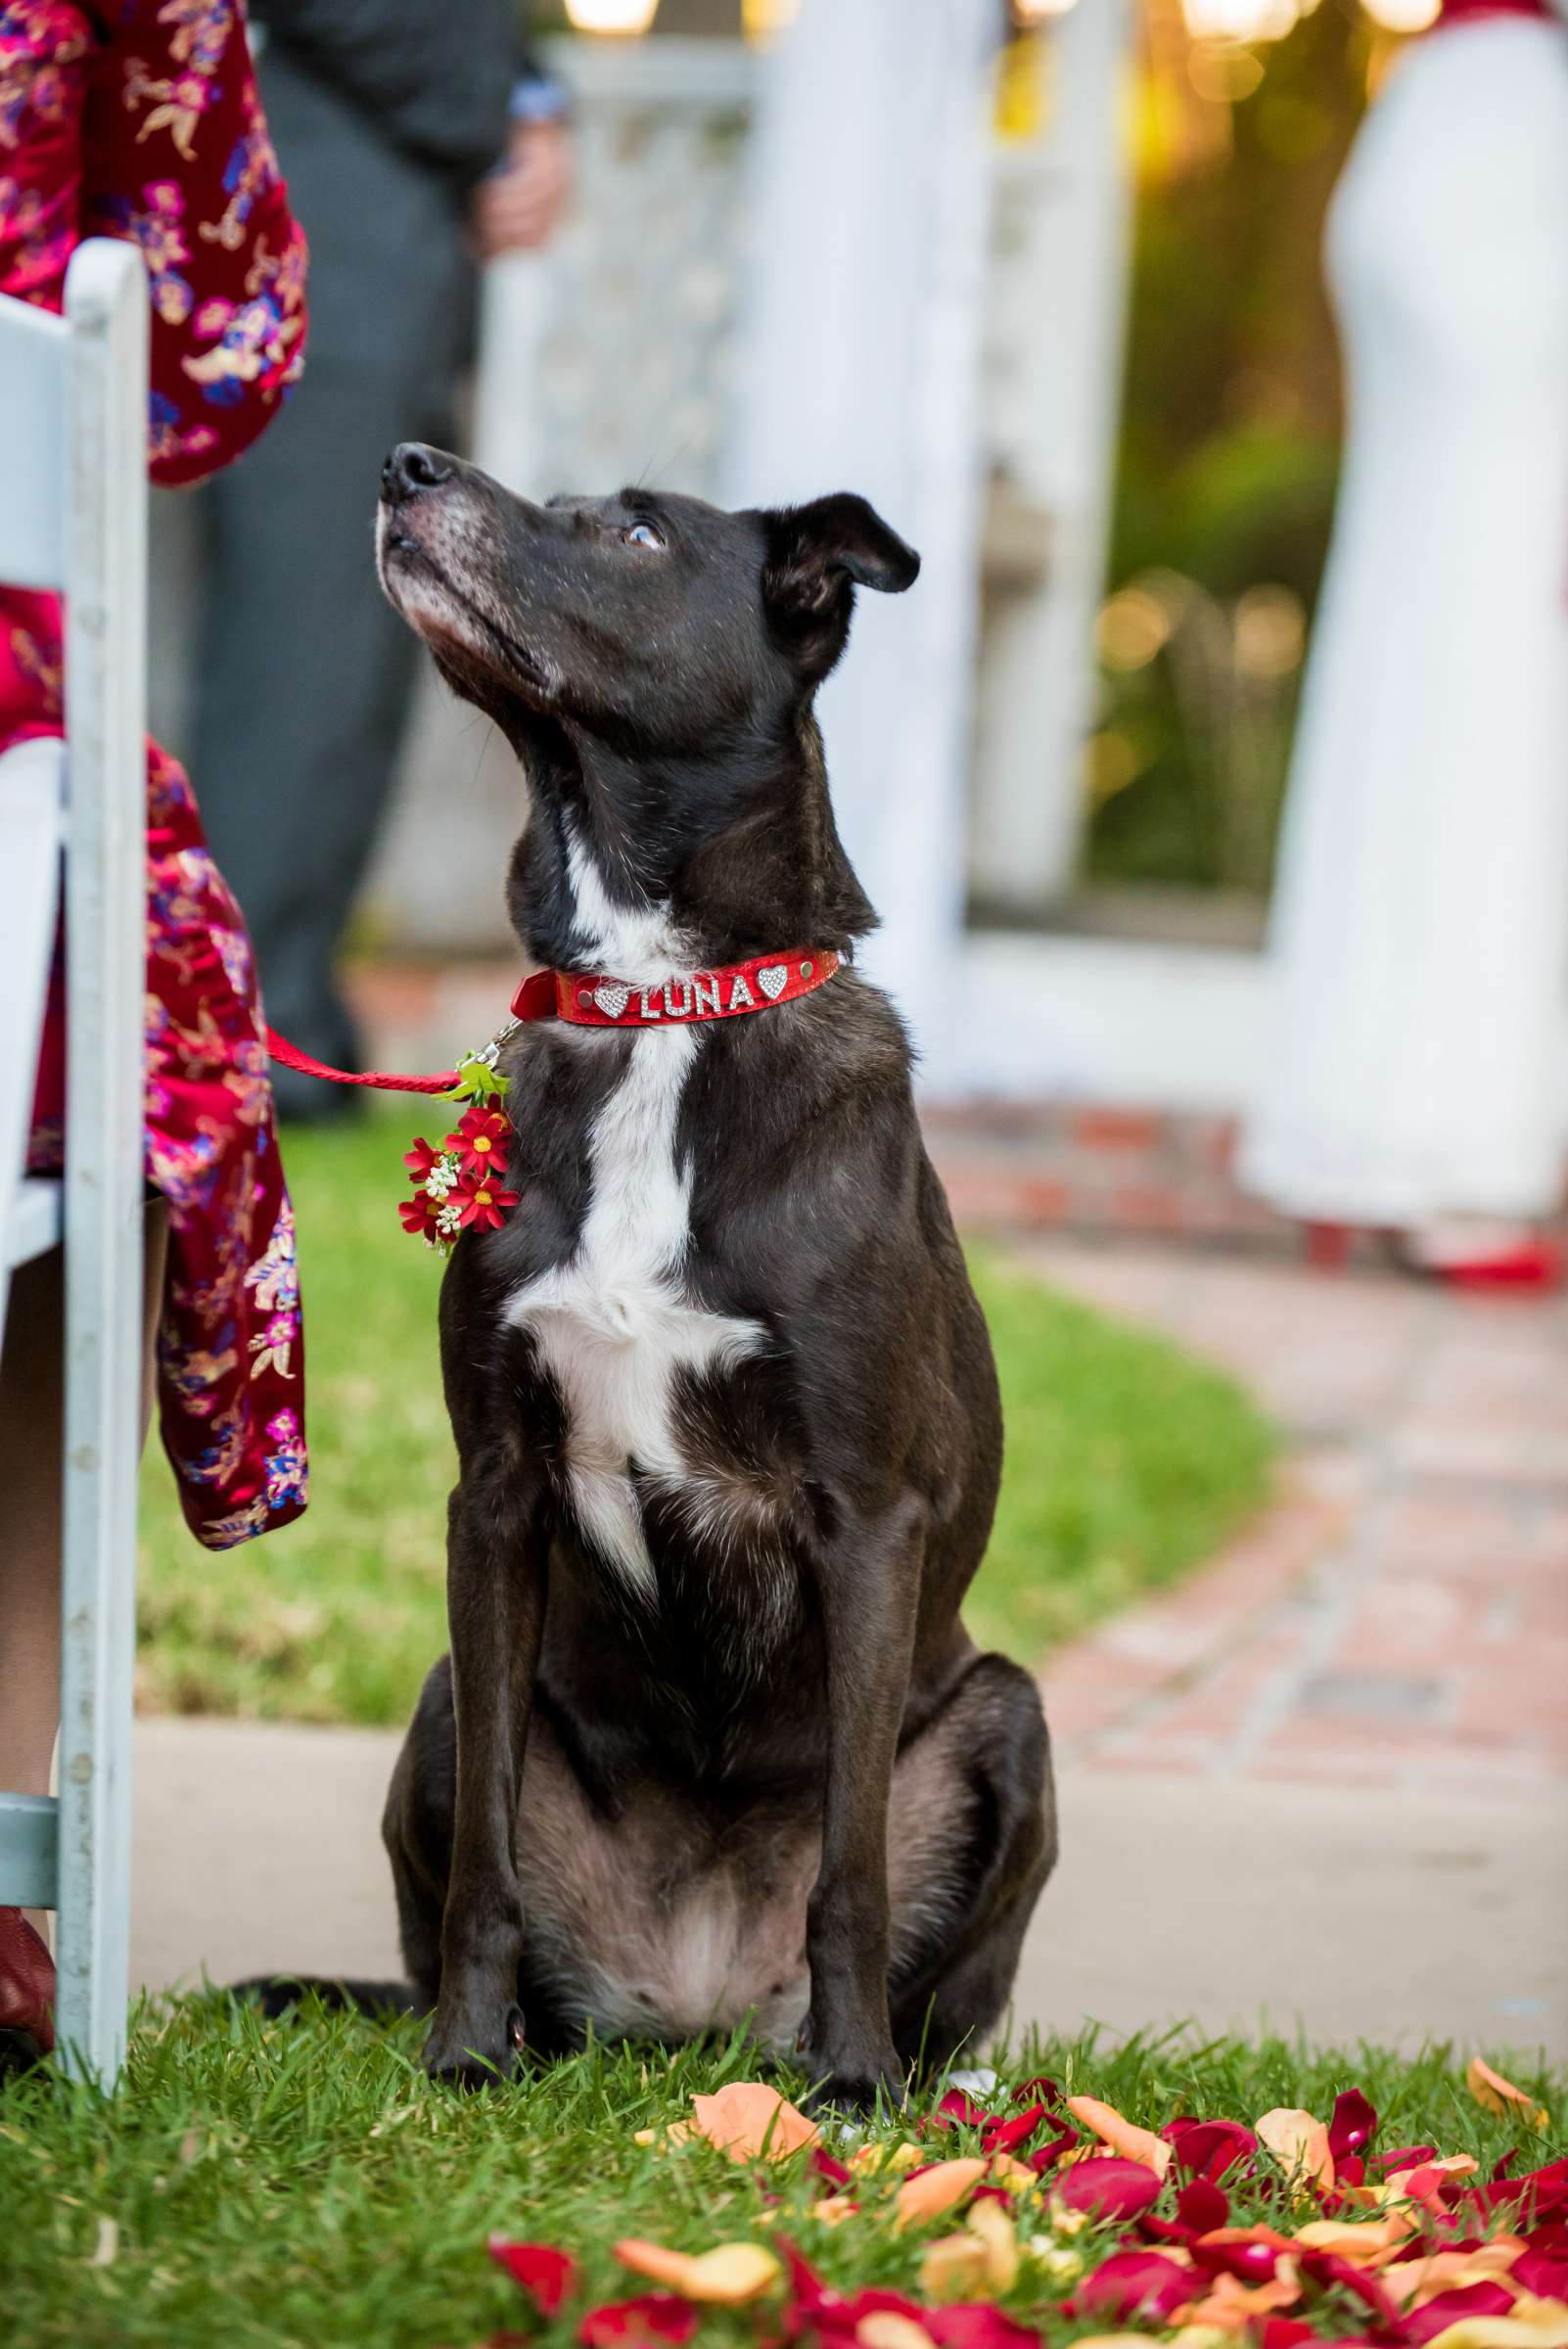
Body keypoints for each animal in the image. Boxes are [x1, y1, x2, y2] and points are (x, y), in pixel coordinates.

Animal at [363, 443, 1060, 2114]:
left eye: (632, 531)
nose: (407, 465)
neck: (657, 1008)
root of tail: (685, 2014)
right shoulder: (492, 1494)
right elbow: (484, 1869)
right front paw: (461, 2057)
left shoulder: (862, 1516)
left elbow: (853, 1873)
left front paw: (852, 2093)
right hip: (441, 1692)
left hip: (1010, 1712)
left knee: (945, 1977)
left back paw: (912, 2085)